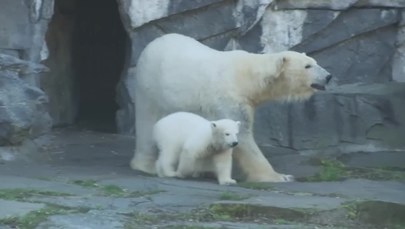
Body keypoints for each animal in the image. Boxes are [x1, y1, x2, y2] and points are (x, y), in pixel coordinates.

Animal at [130, 33, 332, 182]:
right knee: (147, 122)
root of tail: (152, 44)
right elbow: (242, 137)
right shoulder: (229, 99)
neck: (246, 78)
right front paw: (280, 176)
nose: (328, 76)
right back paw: (146, 165)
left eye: (315, 62)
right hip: (151, 85)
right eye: (308, 66)